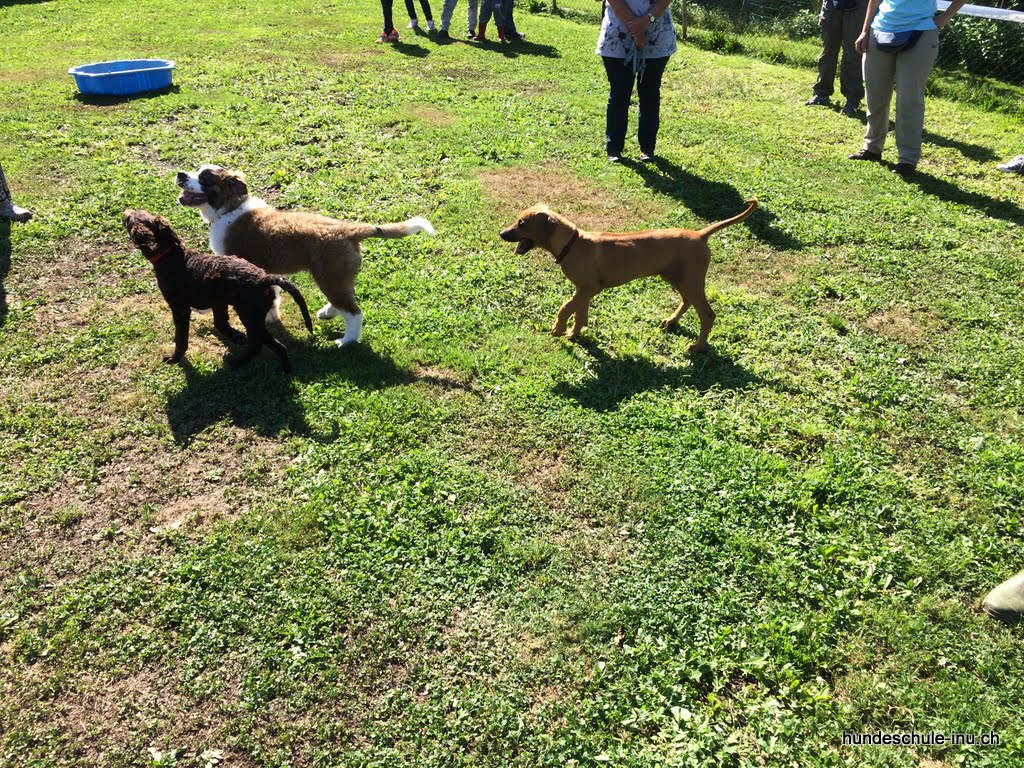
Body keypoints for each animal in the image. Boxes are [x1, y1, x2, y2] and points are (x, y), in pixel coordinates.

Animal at [123, 209, 314, 372]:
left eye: (130, 220)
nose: (125, 212)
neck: (170, 256)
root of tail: (264, 279)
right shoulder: (218, 301)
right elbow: (220, 323)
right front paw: (236, 335)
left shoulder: (180, 308)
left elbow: (181, 338)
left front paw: (175, 358)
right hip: (251, 316)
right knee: (257, 342)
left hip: (250, 316)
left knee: (271, 346)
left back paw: (272, 367)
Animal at [175, 164, 435, 347]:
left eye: (205, 177)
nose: (180, 174)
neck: (230, 208)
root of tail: (349, 229)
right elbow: (274, 294)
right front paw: (271, 316)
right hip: (337, 277)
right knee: (346, 298)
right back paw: (328, 313)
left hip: (329, 277)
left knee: (354, 313)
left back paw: (347, 341)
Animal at [499, 199, 758, 351]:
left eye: (522, 223)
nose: (501, 234)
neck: (571, 244)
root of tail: (701, 234)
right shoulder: (585, 290)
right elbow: (579, 314)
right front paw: (573, 334)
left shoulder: (587, 288)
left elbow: (565, 307)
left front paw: (558, 329)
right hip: (676, 277)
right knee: (687, 301)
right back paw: (671, 321)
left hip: (691, 280)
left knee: (707, 314)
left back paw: (698, 346)